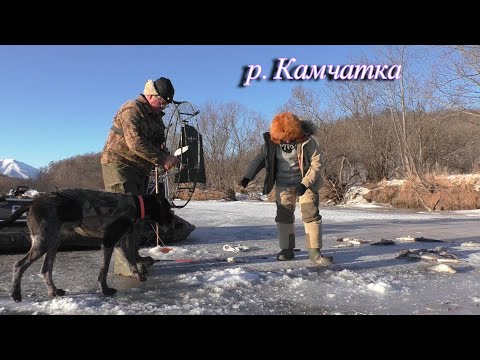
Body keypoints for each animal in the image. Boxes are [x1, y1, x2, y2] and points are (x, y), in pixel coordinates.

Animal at [0, 188, 173, 300]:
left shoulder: (120, 242)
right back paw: (16, 294)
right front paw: (105, 289)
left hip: (52, 243)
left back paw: (54, 291)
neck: (136, 205)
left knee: (45, 270)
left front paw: (138, 275)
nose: (172, 222)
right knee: (19, 264)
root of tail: (32, 202)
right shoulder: (109, 242)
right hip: (43, 243)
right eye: (168, 208)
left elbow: (130, 259)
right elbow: (104, 269)